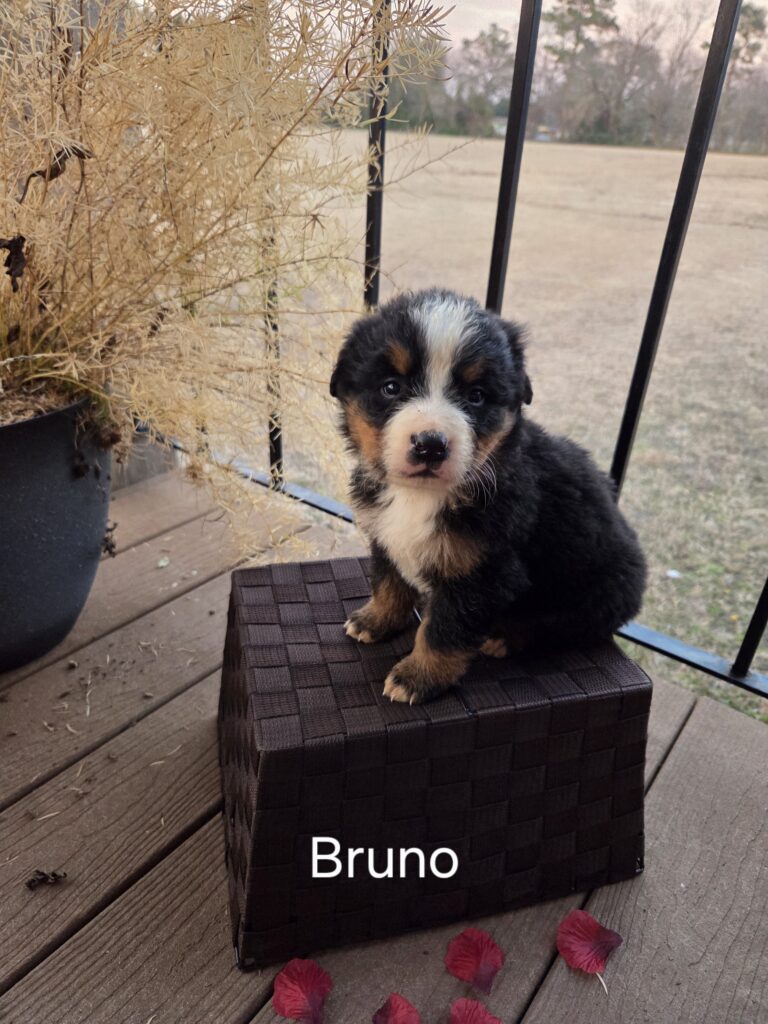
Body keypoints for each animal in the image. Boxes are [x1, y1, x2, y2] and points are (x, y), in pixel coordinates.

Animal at [330, 288, 646, 704]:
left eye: (476, 396)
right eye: (391, 387)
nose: (430, 445)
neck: (421, 497)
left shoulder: (483, 571)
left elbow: (443, 632)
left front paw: (417, 677)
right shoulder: (385, 535)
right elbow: (389, 582)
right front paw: (375, 619)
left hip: (598, 592)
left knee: (558, 626)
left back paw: (503, 637)